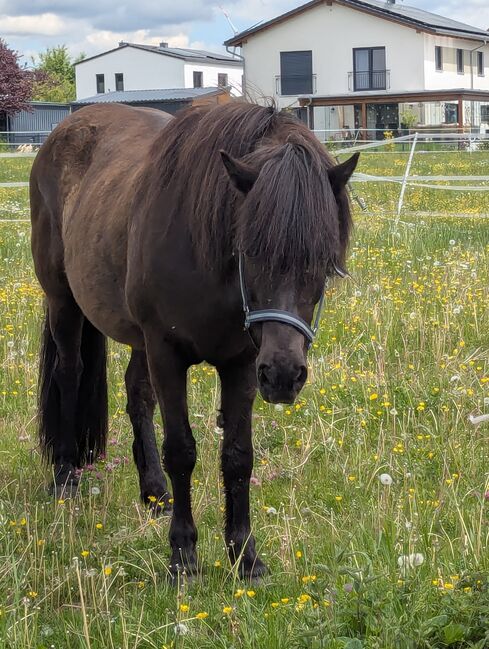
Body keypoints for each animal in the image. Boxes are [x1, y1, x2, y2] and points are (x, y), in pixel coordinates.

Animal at [30, 101, 358, 579]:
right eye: (249, 249)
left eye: (324, 258)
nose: (283, 375)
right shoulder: (168, 355)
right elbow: (181, 450)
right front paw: (183, 556)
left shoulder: (243, 364)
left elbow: (238, 456)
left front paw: (245, 555)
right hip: (64, 303)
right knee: (69, 375)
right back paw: (65, 476)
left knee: (137, 394)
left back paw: (154, 492)